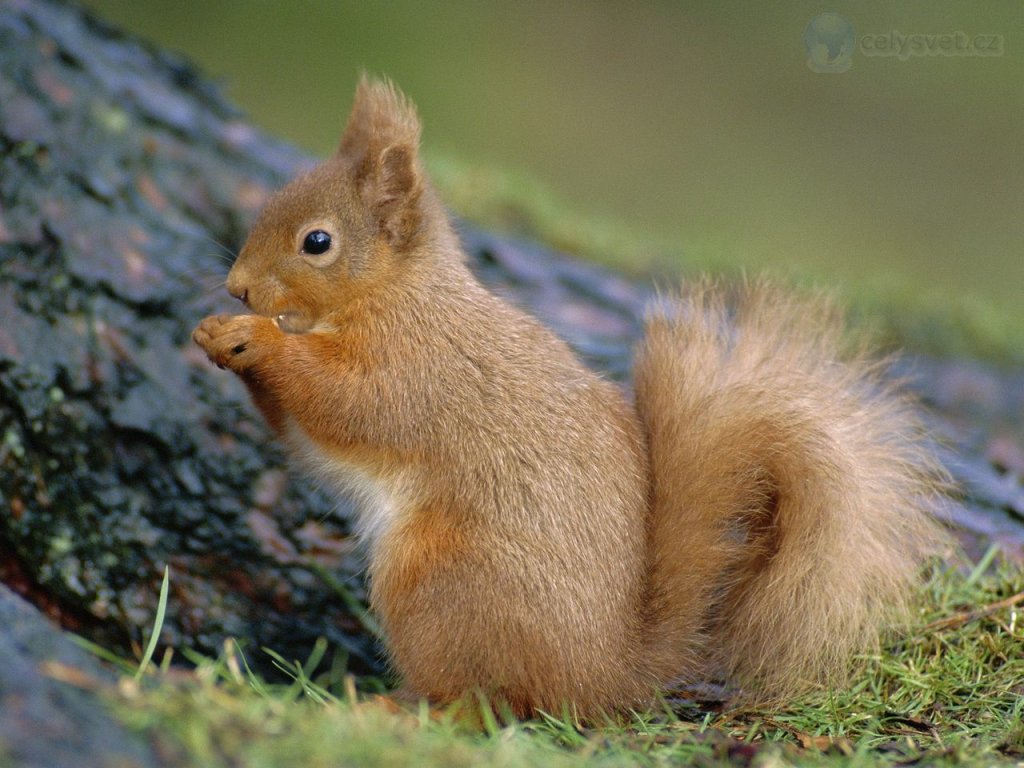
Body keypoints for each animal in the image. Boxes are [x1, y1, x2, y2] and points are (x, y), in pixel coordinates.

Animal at [193, 76, 946, 717]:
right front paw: (214, 334)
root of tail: (601, 675)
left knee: (489, 703)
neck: (395, 295)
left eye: (317, 241)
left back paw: (393, 708)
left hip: (440, 582)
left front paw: (256, 340)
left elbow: (343, 402)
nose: (238, 287)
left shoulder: (414, 370)